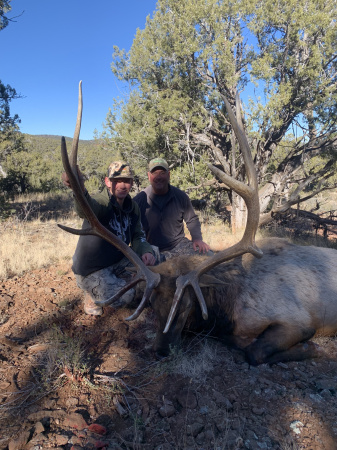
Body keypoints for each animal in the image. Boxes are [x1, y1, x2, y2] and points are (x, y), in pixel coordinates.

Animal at [59, 82, 336, 366]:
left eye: (186, 307)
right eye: (153, 306)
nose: (161, 350)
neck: (227, 308)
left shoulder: (297, 319)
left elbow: (255, 351)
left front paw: (314, 349)